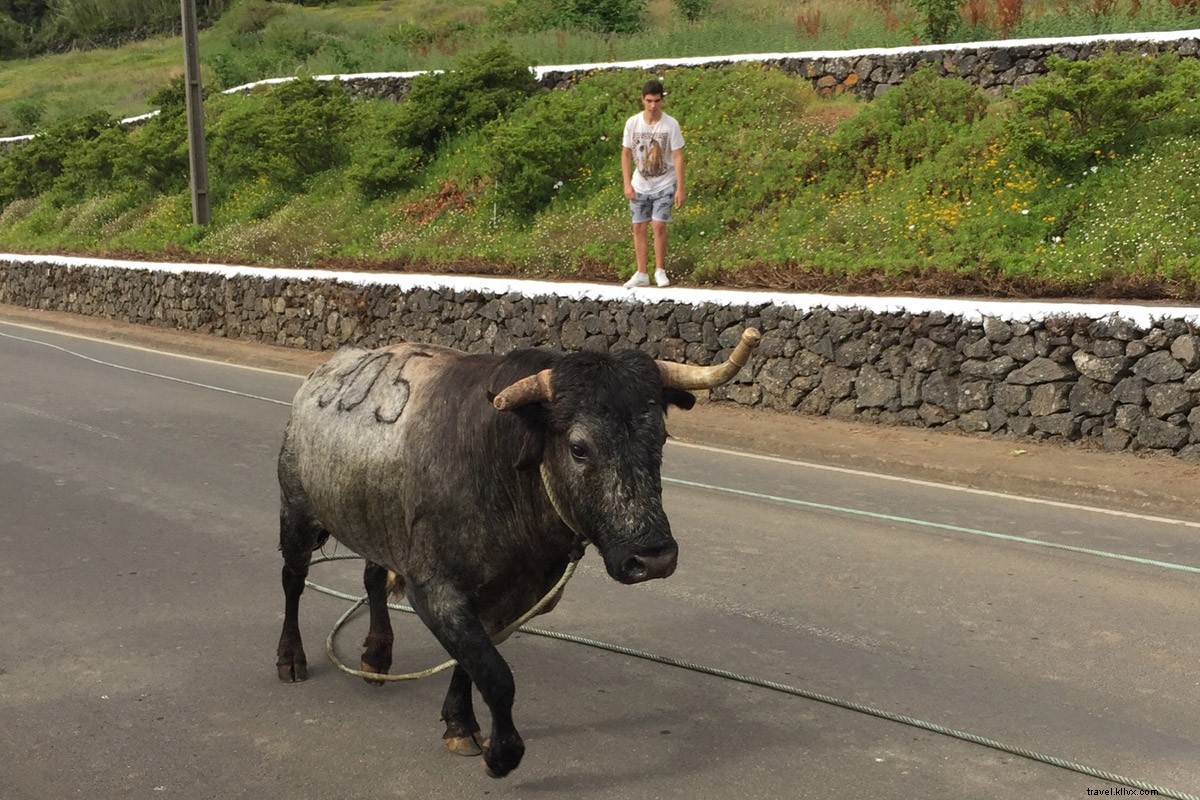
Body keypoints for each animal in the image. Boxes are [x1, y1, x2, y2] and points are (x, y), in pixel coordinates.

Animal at [274, 328, 760, 778]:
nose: (654, 558)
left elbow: (472, 663)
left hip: (377, 522)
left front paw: (460, 724)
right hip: (296, 514)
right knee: (293, 581)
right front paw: (502, 753)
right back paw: (291, 658)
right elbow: (496, 674)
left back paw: (376, 656)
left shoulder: (505, 599)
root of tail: (319, 378)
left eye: (660, 439)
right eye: (579, 447)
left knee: (373, 577)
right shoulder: (435, 590)